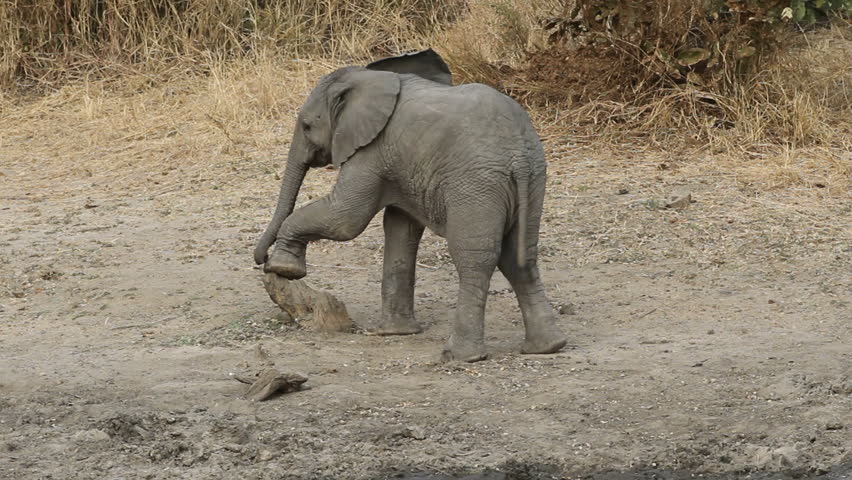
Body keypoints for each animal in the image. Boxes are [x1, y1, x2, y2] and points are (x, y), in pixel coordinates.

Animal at [254, 49, 567, 362]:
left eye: (307, 126)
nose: (262, 259)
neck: (368, 77)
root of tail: (519, 155)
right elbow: (399, 229)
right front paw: (395, 333)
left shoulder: (371, 149)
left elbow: (345, 219)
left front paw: (284, 269)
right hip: (533, 179)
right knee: (520, 257)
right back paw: (547, 347)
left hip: (477, 183)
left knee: (474, 259)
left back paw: (461, 356)